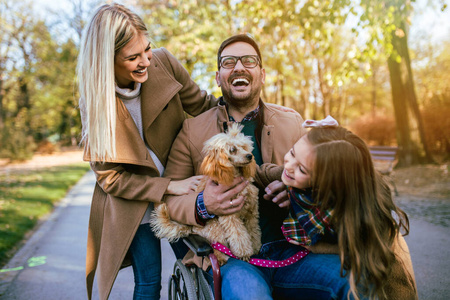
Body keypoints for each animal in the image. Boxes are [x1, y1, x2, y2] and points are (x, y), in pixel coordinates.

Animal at [152, 123, 260, 264]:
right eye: (232, 150)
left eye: (244, 147)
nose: (249, 156)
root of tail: (191, 229)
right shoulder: (229, 216)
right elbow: (239, 235)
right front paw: (244, 253)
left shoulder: (251, 212)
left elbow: (253, 231)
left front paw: (256, 248)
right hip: (214, 228)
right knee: (216, 246)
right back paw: (221, 259)